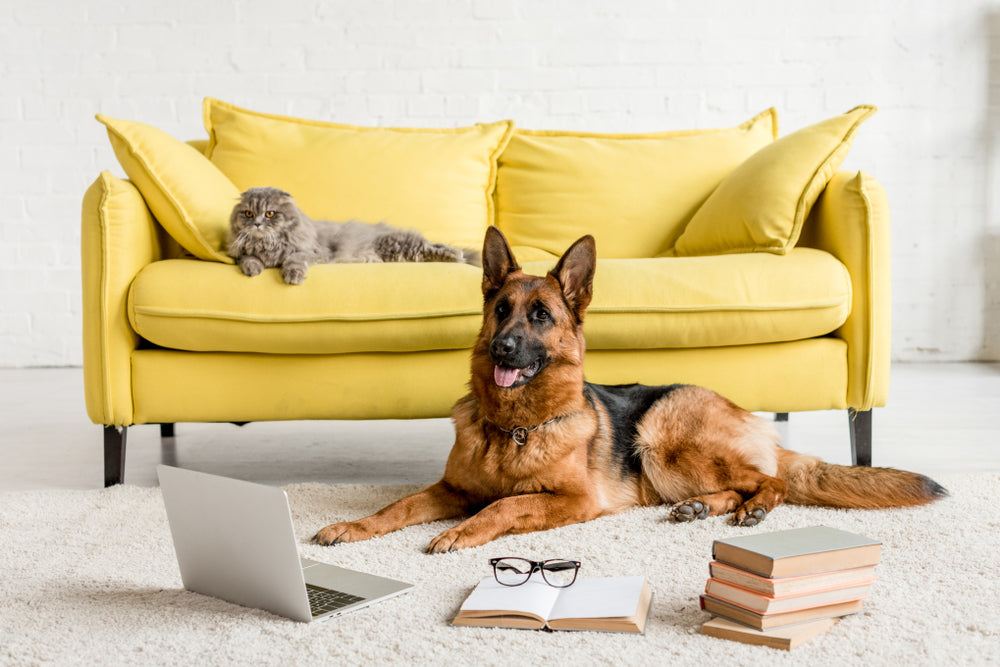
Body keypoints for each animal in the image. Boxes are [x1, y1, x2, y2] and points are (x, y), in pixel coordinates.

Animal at [227, 185, 480, 284]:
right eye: (249, 213)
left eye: (270, 213)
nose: (257, 224)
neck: (268, 245)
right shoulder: (240, 252)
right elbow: (247, 259)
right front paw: (253, 269)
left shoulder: (311, 252)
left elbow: (293, 261)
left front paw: (293, 277)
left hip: (399, 245)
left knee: (435, 247)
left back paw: (456, 255)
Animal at [316, 230, 948, 552]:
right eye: (501, 310)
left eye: (540, 316)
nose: (502, 349)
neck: (516, 425)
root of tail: (749, 419)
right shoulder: (450, 488)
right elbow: (398, 505)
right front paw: (353, 527)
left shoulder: (572, 500)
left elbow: (506, 503)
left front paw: (460, 532)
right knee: (739, 484)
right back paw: (703, 508)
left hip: (663, 440)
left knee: (773, 482)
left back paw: (752, 510)